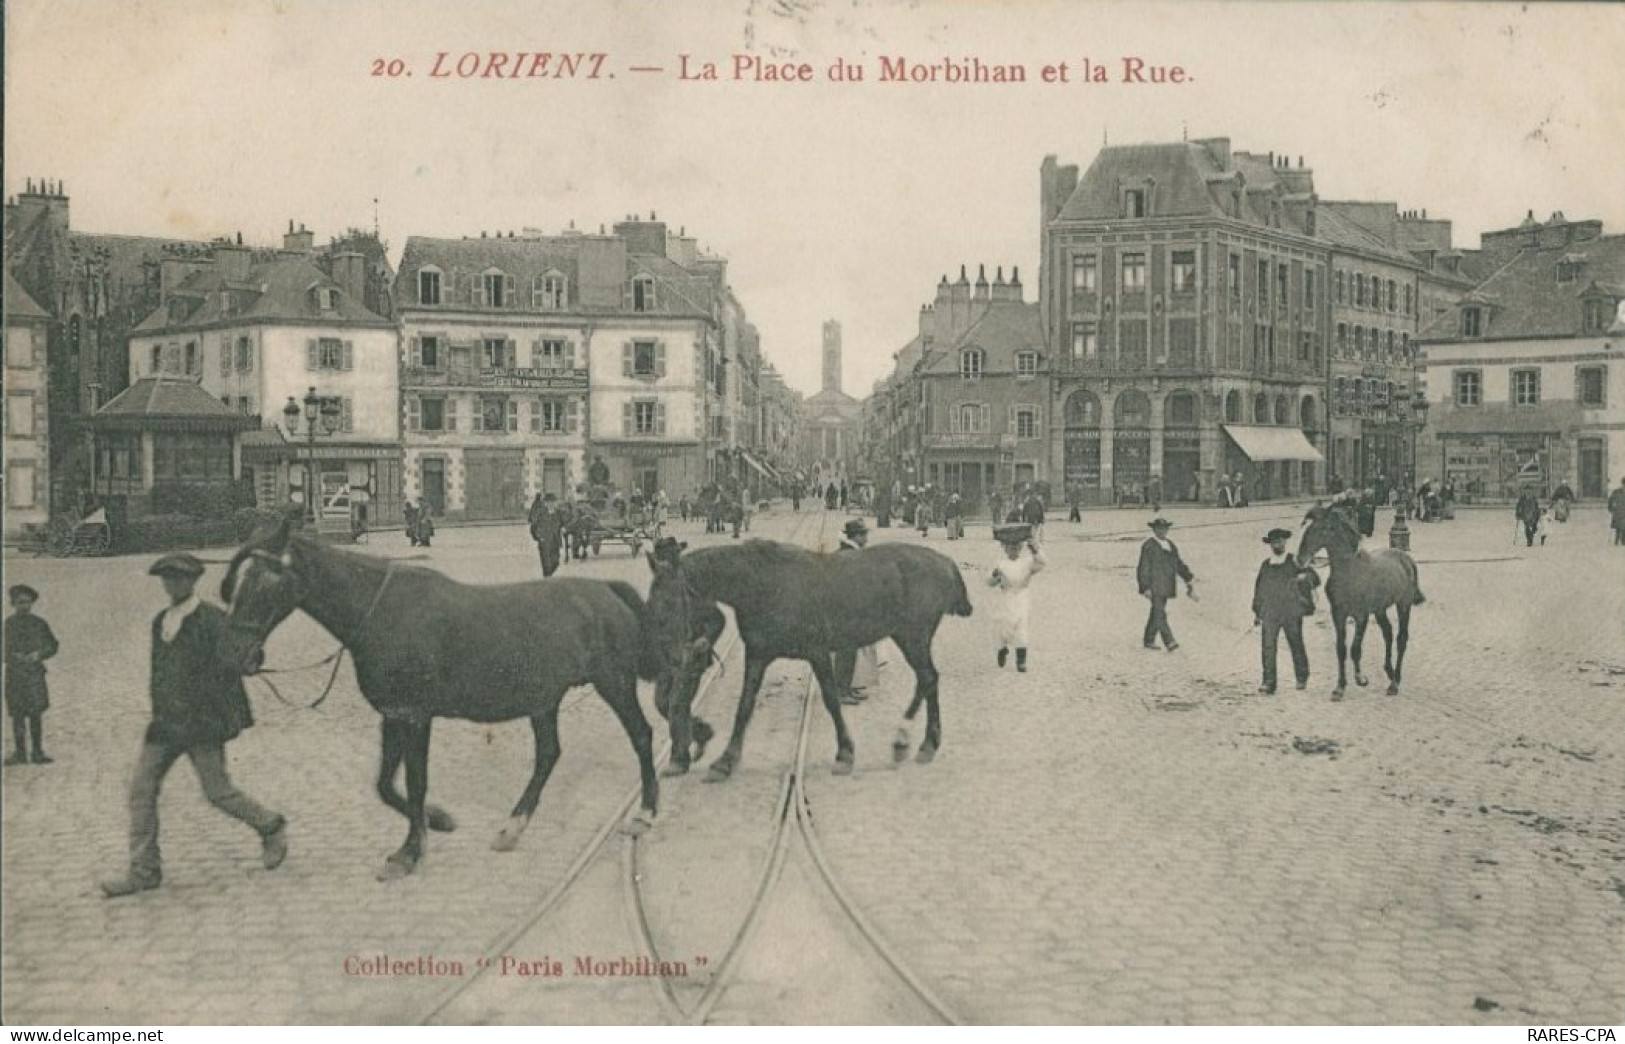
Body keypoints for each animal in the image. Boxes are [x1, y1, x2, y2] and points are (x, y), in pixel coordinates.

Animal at [222, 520, 666, 878]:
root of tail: (606, 591)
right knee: (548, 755)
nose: (240, 655)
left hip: (614, 683)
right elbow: (385, 784)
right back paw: (512, 827)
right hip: (544, 700)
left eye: (269, 578)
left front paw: (409, 852)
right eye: (241, 578)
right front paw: (436, 821)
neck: (380, 611)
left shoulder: (416, 715)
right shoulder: (393, 714)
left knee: (641, 736)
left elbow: (415, 781)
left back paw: (645, 813)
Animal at [643, 539, 975, 777]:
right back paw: (922, 743)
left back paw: (908, 741)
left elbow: (831, 700)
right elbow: (745, 706)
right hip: (910, 639)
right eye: (651, 600)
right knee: (928, 680)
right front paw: (725, 761)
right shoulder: (757, 656)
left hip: (913, 638)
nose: (669, 662)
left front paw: (844, 754)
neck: (765, 583)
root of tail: (945, 563)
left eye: (670, 601)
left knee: (927, 679)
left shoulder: (818, 653)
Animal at [1293, 507, 1423, 699]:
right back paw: (1390, 672)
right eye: (1307, 528)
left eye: (1321, 529)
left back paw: (1395, 682)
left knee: (1401, 639)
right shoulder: (1338, 614)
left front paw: (1361, 679)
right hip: (1380, 609)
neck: (1349, 571)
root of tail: (1407, 559)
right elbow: (1341, 648)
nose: (1300, 559)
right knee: (1388, 633)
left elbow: (1355, 648)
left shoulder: (1361, 615)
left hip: (1403, 605)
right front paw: (1339, 687)